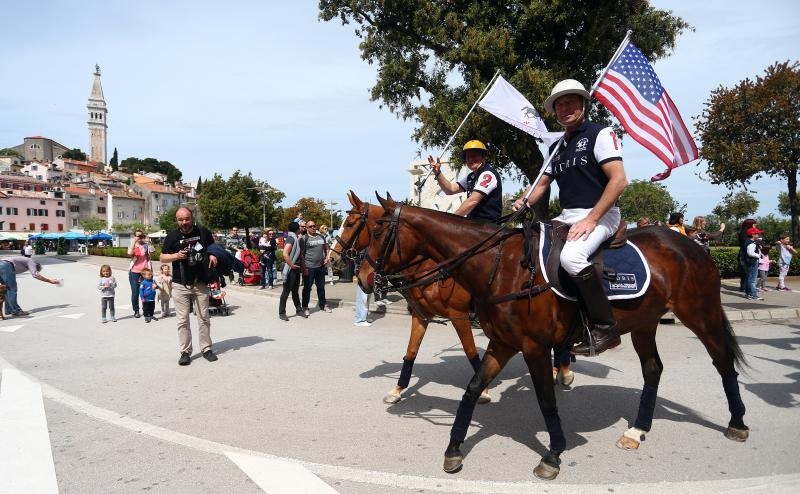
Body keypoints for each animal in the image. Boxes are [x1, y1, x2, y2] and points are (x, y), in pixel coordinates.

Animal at [328, 191, 490, 404]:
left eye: (349, 223)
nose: (331, 257)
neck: (429, 267)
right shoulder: (420, 316)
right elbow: (411, 351)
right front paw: (398, 388)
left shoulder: (460, 316)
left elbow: (470, 351)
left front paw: (484, 390)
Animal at [360, 195, 748, 480]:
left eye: (375, 232)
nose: (364, 278)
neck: (499, 265)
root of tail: (690, 244)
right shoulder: (502, 343)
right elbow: (470, 389)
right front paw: (454, 449)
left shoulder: (533, 346)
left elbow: (546, 400)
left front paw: (553, 453)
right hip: (644, 322)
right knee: (653, 369)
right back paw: (637, 430)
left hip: (700, 314)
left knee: (722, 361)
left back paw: (737, 423)